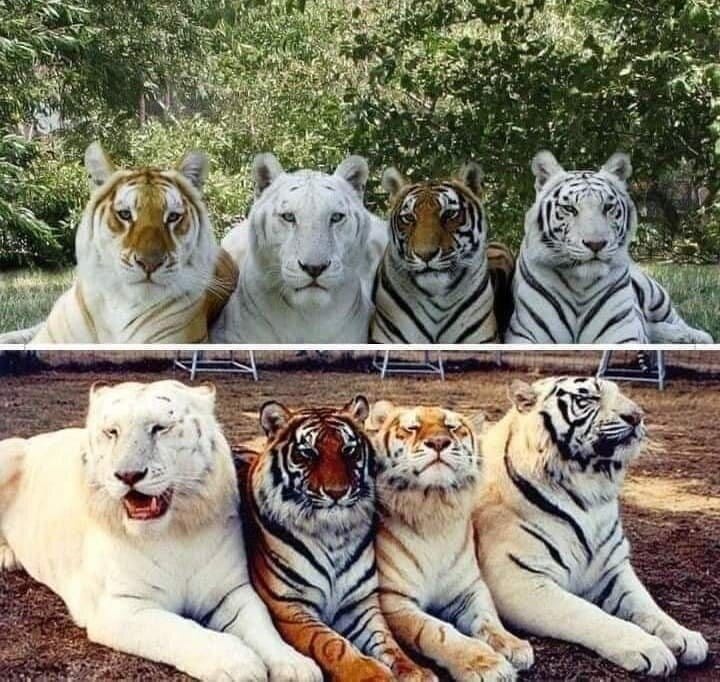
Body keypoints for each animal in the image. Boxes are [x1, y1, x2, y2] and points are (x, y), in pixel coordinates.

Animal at [0, 380, 320, 681]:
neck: (172, 534)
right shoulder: (121, 606)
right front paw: (238, 663)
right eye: (112, 432)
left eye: (160, 428)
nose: (128, 475)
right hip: (9, 451)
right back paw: (8, 558)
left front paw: (296, 665)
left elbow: (263, 626)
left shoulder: (231, 592)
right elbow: (180, 629)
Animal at [239, 396, 436, 682]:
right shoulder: (290, 606)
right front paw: (372, 674)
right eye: (308, 453)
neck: (332, 533)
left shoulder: (360, 603)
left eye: (349, 450)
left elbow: (387, 641)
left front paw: (416, 671)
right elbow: (332, 645)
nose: (337, 492)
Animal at [365, 401, 533, 682]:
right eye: (412, 427)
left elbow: (488, 618)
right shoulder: (394, 599)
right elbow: (438, 632)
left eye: (452, 427)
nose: (439, 442)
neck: (435, 509)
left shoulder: (469, 588)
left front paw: (513, 644)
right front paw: (485, 664)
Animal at [473, 376, 709, 676]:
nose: (637, 416)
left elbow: (648, 606)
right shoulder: (520, 580)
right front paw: (649, 647)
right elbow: (588, 614)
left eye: (621, 393)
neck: (590, 492)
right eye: (588, 399)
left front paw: (685, 636)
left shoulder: (613, 569)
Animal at [506, 150, 713, 344]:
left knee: (674, 320)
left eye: (607, 207)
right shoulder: (524, 334)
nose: (595, 244)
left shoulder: (623, 334)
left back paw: (694, 337)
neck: (580, 285)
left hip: (656, 296)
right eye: (569, 209)